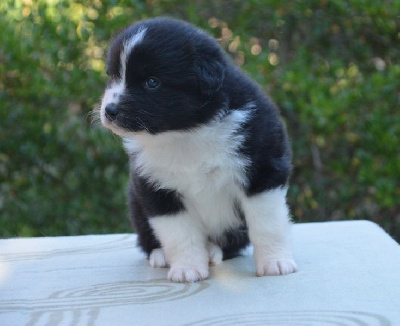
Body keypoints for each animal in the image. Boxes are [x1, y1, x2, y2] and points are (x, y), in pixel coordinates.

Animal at [98, 17, 296, 282]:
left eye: (152, 82)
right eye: (113, 76)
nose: (109, 111)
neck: (186, 132)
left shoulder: (262, 169)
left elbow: (268, 223)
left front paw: (275, 262)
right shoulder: (156, 188)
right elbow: (179, 233)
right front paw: (187, 269)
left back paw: (214, 251)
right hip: (137, 205)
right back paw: (162, 255)